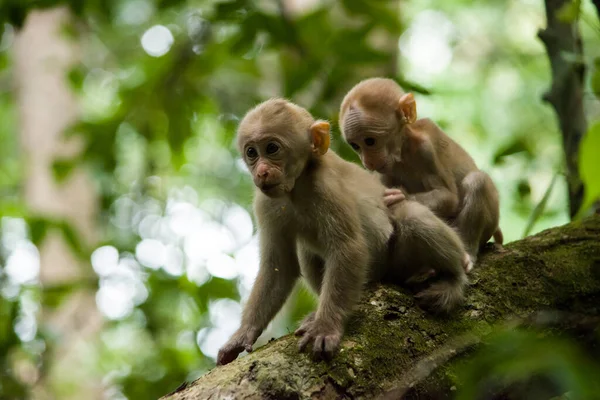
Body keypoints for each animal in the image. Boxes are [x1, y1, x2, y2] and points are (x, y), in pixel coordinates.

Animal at [216, 97, 468, 366]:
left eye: (272, 148)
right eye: (251, 152)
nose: (261, 171)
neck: (296, 186)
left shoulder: (326, 187)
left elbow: (348, 248)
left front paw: (326, 327)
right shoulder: (265, 203)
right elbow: (279, 266)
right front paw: (243, 334)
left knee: (412, 217)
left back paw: (454, 279)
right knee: (307, 251)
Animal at [340, 76, 504, 268]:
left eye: (370, 141)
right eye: (355, 145)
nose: (368, 162)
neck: (403, 151)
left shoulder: (426, 150)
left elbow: (449, 197)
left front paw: (400, 196)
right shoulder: (383, 170)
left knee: (478, 181)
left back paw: (467, 252)